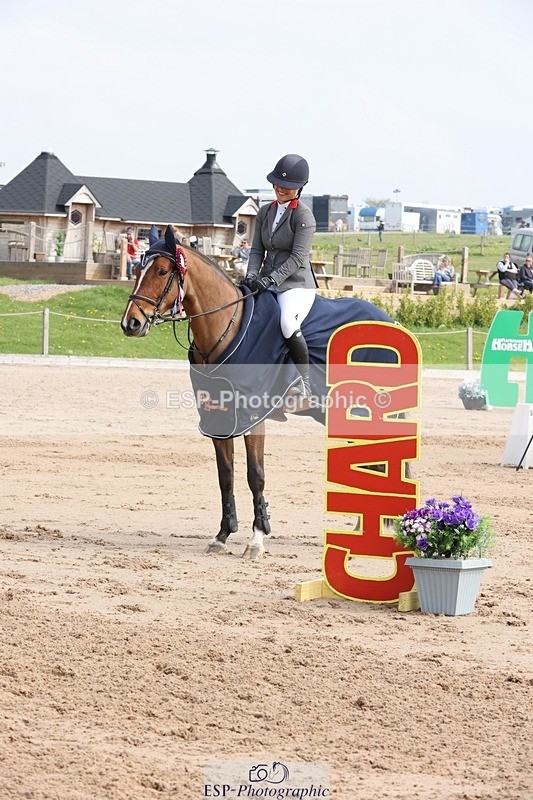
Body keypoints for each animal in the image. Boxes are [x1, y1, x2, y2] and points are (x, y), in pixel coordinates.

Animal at [121, 226, 398, 559]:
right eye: (137, 270)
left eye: (162, 271)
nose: (131, 323)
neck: (226, 327)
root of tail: (390, 320)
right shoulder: (218, 417)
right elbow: (225, 476)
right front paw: (223, 535)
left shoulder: (254, 416)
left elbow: (256, 476)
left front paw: (257, 539)